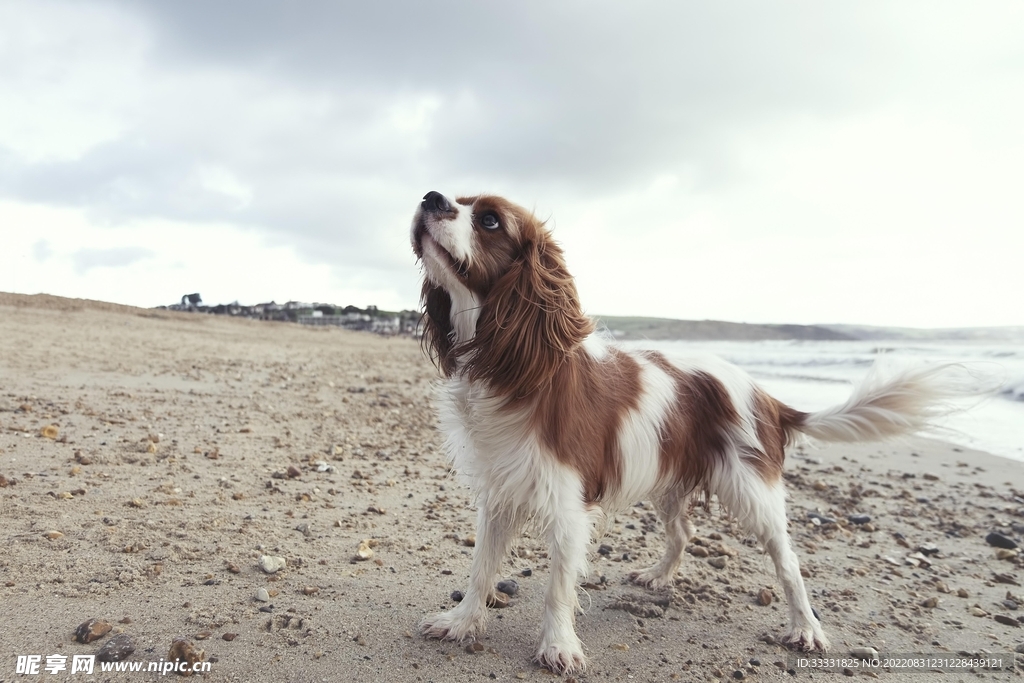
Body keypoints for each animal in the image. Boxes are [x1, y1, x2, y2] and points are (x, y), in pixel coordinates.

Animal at [409, 189, 966, 675]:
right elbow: (481, 568)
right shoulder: (501, 493)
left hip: (752, 491)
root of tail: (767, 396)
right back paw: (658, 577)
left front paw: (558, 647)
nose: (430, 197)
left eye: (489, 220)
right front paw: (462, 623)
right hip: (669, 481)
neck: (514, 367)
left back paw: (806, 628)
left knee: (788, 562)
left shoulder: (567, 503)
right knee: (683, 533)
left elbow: (557, 586)